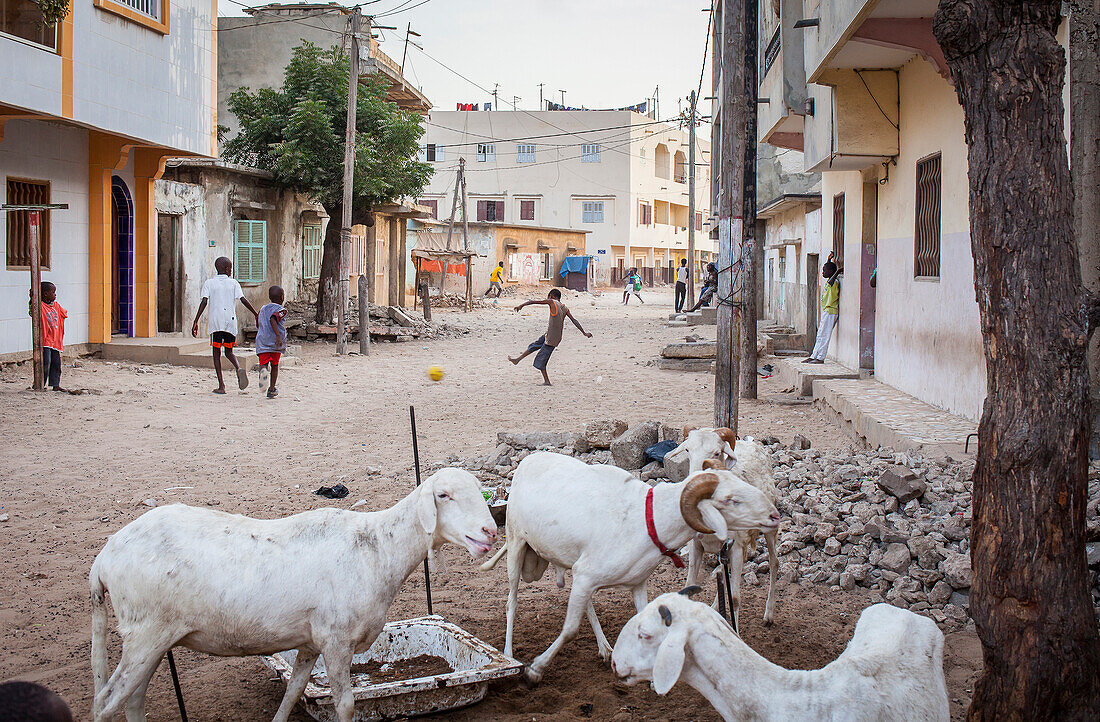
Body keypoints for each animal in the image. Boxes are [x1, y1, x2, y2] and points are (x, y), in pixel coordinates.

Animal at [88, 468, 497, 722]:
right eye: (443, 495)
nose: (490, 532)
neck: (380, 548)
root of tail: (104, 557)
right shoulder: (336, 639)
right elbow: (345, 706)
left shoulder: (311, 642)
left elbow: (293, 692)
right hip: (146, 633)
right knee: (106, 702)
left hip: (152, 639)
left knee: (133, 699)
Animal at [481, 451, 783, 682]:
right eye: (731, 500)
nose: (774, 515)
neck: (648, 519)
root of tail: (529, 460)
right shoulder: (586, 576)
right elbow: (570, 629)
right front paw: (535, 669)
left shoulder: (631, 582)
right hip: (517, 543)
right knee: (512, 601)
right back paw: (508, 653)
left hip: (570, 561)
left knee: (585, 604)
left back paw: (605, 648)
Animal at [660, 429, 783, 625]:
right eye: (687, 450)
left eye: (717, 453)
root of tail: (750, 443)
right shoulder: (697, 546)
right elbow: (689, 586)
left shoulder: (736, 548)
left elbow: (735, 598)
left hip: (769, 527)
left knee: (774, 562)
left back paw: (768, 615)